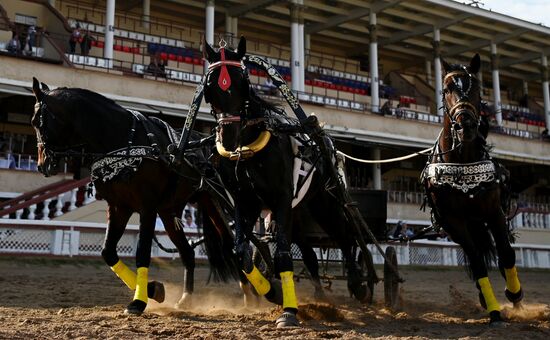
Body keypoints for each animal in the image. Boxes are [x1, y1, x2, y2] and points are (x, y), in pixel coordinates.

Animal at [30, 77, 237, 316]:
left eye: (38, 122)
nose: (42, 164)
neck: (122, 143)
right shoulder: (119, 206)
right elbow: (108, 252)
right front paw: (152, 289)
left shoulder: (147, 207)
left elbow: (142, 252)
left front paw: (138, 301)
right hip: (169, 213)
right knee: (188, 253)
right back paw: (186, 298)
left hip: (213, 200)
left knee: (235, 245)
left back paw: (254, 293)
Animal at [203, 37, 370, 326]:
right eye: (210, 87)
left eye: (243, 82)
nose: (228, 137)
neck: (248, 150)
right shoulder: (245, 203)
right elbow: (240, 252)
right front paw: (272, 290)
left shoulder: (280, 199)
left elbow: (282, 255)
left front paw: (289, 311)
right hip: (299, 212)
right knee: (311, 255)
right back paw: (320, 295)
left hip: (324, 202)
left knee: (344, 236)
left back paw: (357, 282)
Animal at [422, 54, 528, 326]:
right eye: (447, 89)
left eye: (478, 88)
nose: (466, 126)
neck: (462, 163)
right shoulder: (453, 222)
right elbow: (478, 263)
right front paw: (494, 311)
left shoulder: (494, 212)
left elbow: (507, 254)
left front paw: (514, 295)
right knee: (475, 256)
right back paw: (484, 298)